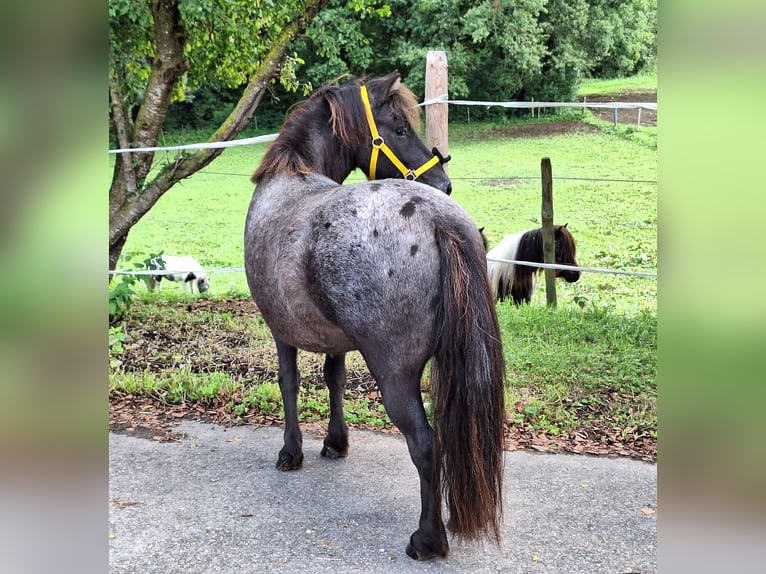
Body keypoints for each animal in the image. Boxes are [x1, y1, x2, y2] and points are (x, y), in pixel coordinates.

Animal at [246, 73, 508, 564]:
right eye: (400, 129)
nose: (444, 183)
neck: (290, 177)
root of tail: (436, 217)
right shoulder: (332, 339)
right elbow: (333, 379)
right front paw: (335, 442)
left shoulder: (281, 332)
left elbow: (288, 383)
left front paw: (292, 451)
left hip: (394, 374)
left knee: (425, 443)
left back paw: (427, 539)